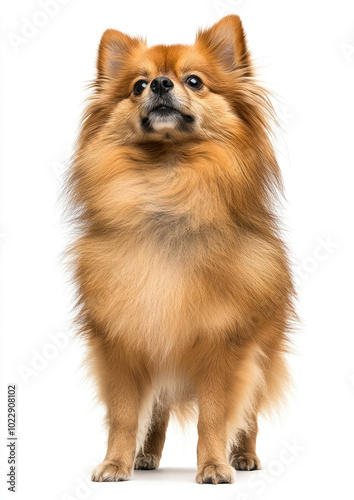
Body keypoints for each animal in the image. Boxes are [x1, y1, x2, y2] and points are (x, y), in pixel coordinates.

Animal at [65, 15, 296, 484]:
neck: (167, 185)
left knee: (249, 414)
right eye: (137, 86)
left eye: (194, 81)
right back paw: (145, 457)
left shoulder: (225, 349)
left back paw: (243, 456)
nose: (159, 83)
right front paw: (115, 463)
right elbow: (124, 415)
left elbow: (215, 416)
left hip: (262, 355)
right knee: (158, 412)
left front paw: (213, 465)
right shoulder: (122, 344)